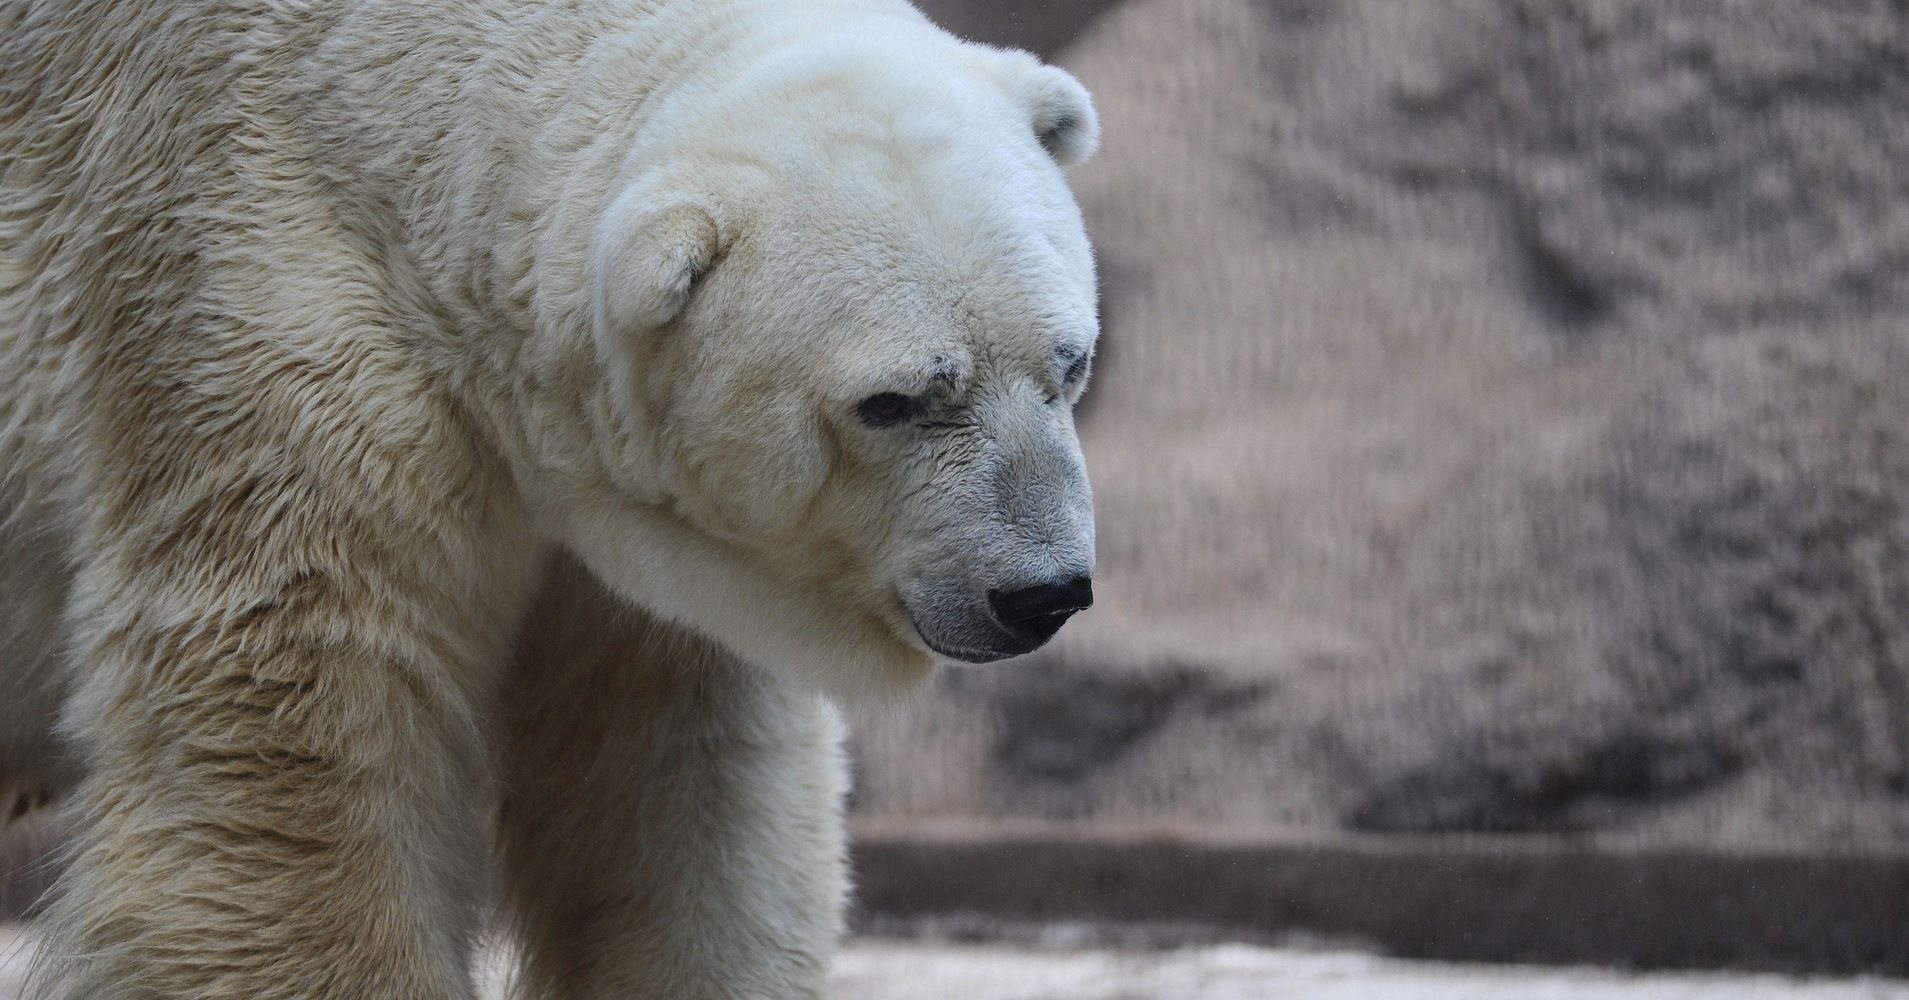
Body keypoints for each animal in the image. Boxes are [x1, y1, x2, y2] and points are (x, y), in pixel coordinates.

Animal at [3, 3, 1107, 992]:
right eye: (892, 400)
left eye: (1070, 363)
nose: (1041, 593)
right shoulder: (259, 305)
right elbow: (298, 745)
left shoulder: (638, 545)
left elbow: (675, 780)